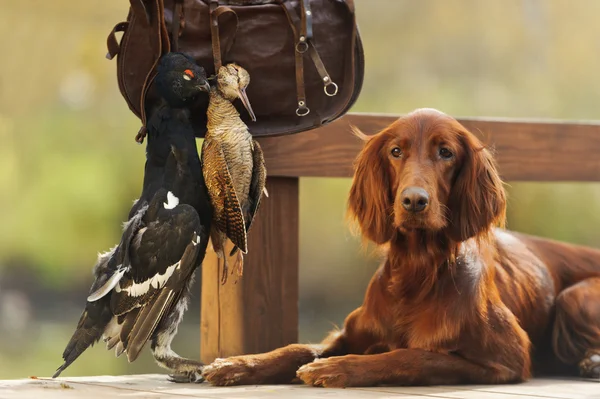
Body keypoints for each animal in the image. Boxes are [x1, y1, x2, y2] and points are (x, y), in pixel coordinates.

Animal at [203, 109, 600, 388]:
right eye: (396, 151)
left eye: (445, 153)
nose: (413, 201)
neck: (417, 269)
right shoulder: (351, 333)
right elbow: (298, 348)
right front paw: (237, 364)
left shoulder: (507, 359)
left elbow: (413, 357)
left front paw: (338, 368)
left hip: (574, 298)